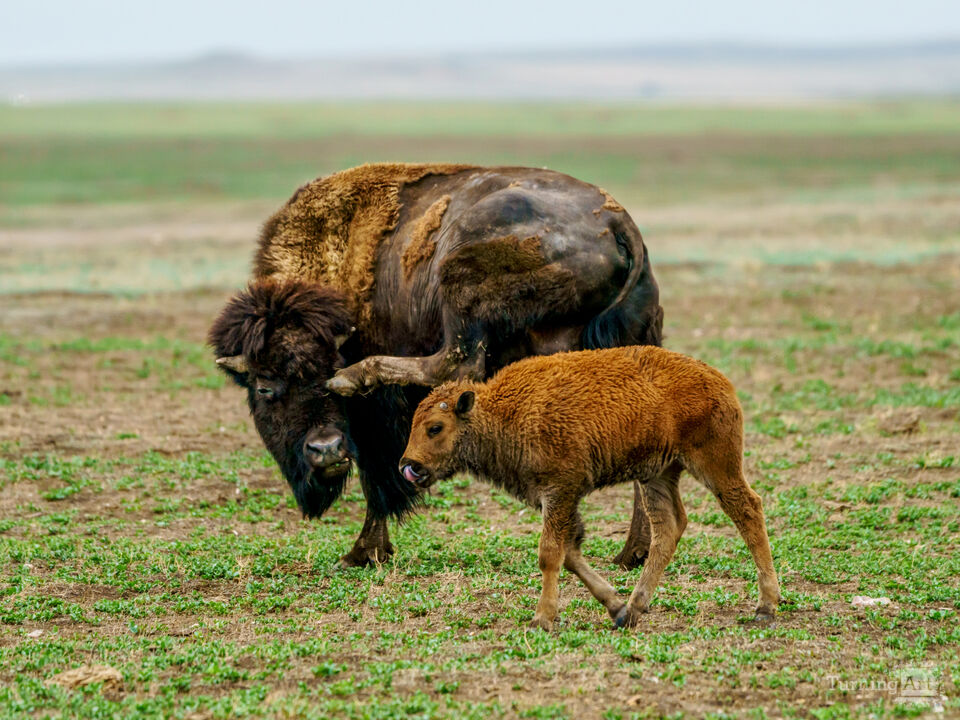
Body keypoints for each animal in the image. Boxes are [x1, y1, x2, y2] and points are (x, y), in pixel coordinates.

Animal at [209, 163, 663, 568]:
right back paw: (634, 553)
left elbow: (377, 477)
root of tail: (618, 223)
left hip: (458, 279)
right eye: (264, 387)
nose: (327, 450)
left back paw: (358, 376)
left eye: (323, 372)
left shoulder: (375, 421)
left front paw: (362, 553)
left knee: (456, 365)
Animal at [399, 346, 781, 631]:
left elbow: (550, 553)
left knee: (748, 510)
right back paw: (634, 608)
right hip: (657, 475)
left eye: (435, 427)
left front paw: (542, 619)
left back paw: (765, 607)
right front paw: (615, 607)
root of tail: (720, 381)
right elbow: (569, 553)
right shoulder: (558, 500)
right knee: (669, 527)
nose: (409, 466)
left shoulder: (560, 492)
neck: (501, 411)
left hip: (716, 465)